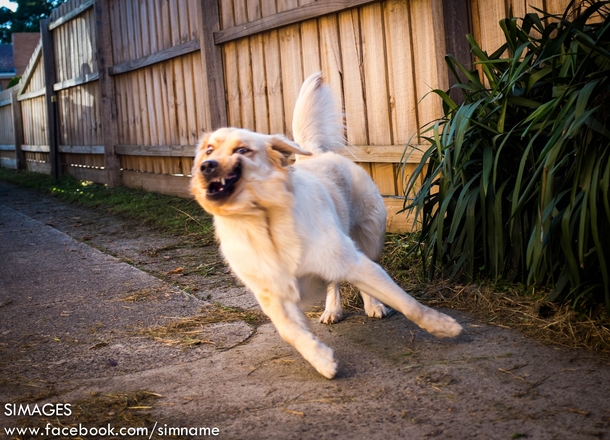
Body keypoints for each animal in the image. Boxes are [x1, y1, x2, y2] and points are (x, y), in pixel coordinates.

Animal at [191, 72, 460, 378]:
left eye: (242, 150)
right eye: (209, 149)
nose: (206, 166)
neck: (265, 223)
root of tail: (317, 154)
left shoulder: (353, 261)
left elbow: (408, 304)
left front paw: (443, 326)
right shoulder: (274, 295)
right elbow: (290, 332)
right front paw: (321, 360)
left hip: (368, 241)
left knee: (361, 278)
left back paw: (374, 306)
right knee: (333, 283)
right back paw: (333, 311)